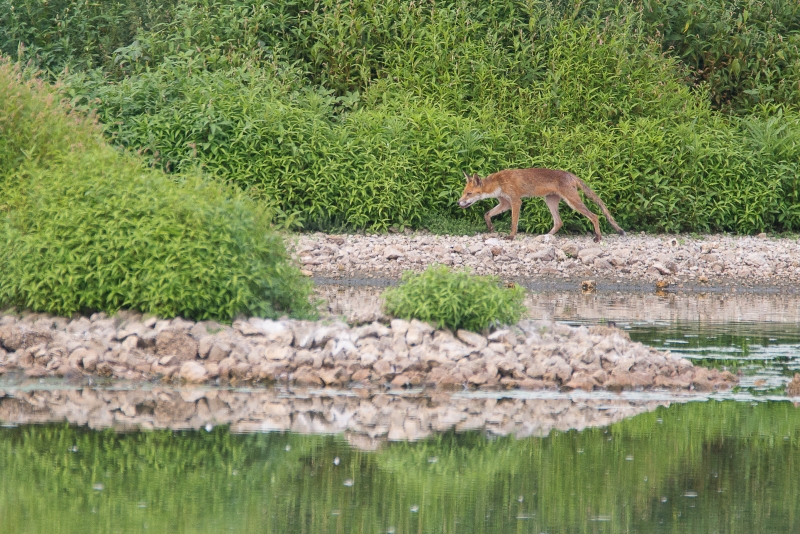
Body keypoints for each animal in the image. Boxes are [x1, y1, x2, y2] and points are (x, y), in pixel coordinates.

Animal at [456, 169, 624, 244]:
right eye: (464, 193)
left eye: (469, 194)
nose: (458, 202)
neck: (499, 183)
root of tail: (570, 174)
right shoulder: (505, 203)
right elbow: (487, 214)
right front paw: (491, 228)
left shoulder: (516, 201)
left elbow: (513, 223)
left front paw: (511, 236)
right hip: (550, 201)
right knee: (558, 222)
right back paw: (545, 236)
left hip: (572, 202)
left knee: (594, 216)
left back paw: (598, 237)